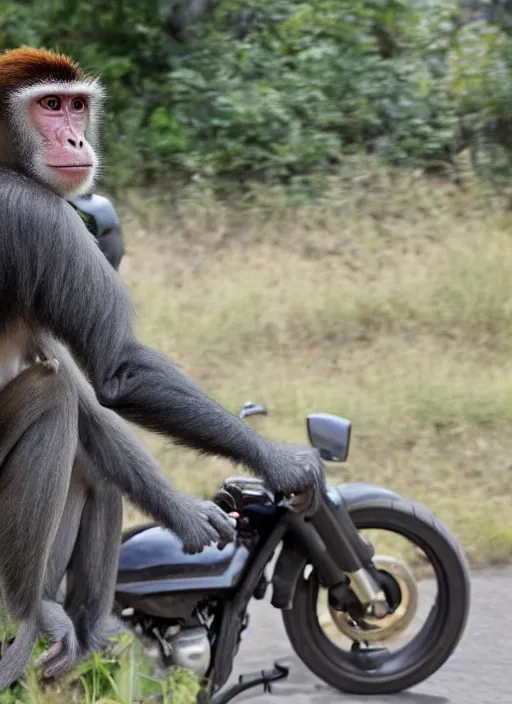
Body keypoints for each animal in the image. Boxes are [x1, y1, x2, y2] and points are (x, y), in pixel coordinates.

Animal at [0, 48, 324, 688]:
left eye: (75, 106)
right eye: (49, 105)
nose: (76, 138)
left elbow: (96, 400)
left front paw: (186, 513)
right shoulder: (41, 218)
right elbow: (118, 372)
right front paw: (283, 462)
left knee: (90, 456)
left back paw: (91, 637)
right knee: (52, 396)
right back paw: (32, 611)